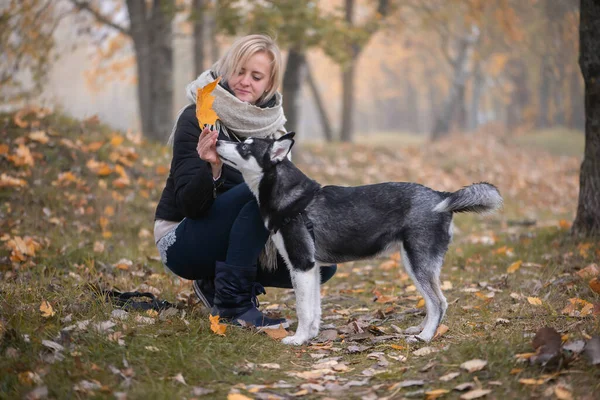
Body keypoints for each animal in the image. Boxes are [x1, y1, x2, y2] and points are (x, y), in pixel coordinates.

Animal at [216, 133, 502, 346]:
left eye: (244, 147)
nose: (216, 140)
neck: (292, 200)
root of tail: (442, 195)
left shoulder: (302, 265)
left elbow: (303, 310)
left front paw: (298, 339)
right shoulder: (312, 269)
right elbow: (314, 309)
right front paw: (311, 336)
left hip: (417, 263)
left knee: (439, 302)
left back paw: (425, 337)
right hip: (414, 264)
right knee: (433, 304)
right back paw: (420, 329)